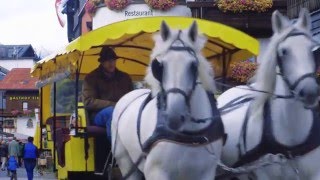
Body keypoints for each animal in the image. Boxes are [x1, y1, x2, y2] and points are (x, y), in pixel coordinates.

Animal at [112, 21, 225, 180]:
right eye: (160, 66)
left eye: (193, 65)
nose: (174, 116)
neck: (189, 135)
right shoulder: (155, 171)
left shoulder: (206, 173)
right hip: (125, 161)